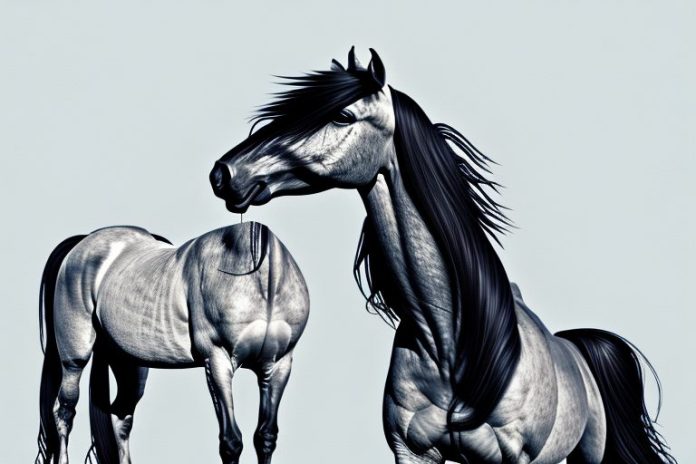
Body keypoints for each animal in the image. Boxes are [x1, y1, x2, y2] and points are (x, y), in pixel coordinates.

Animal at [35, 221, 309, 464]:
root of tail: (84, 241)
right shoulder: (217, 360)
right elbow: (231, 441)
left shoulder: (278, 365)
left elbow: (265, 437)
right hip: (75, 356)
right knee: (64, 410)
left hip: (129, 365)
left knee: (121, 416)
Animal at [209, 48, 676, 464]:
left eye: (342, 115)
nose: (224, 173)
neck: (454, 344)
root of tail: (575, 350)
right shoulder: (412, 453)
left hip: (587, 454)